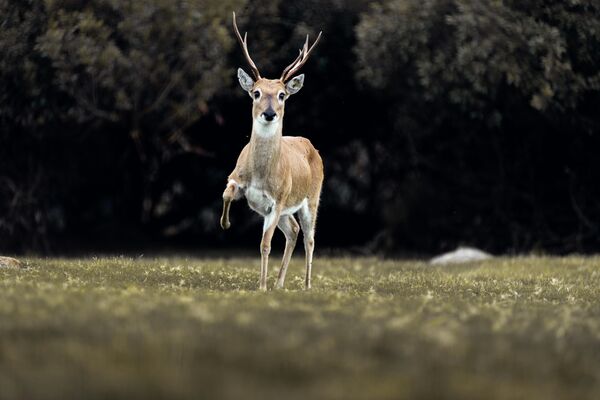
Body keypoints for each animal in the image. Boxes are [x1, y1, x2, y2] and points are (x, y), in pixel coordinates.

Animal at [220, 12, 324, 290]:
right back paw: (279, 283)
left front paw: (261, 286)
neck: (260, 174)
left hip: (311, 197)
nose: (269, 113)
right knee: (294, 230)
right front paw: (225, 223)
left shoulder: (278, 200)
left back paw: (306, 285)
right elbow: (226, 193)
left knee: (309, 237)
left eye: (282, 95)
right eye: (256, 92)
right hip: (289, 210)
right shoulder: (236, 178)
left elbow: (265, 244)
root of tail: (311, 145)